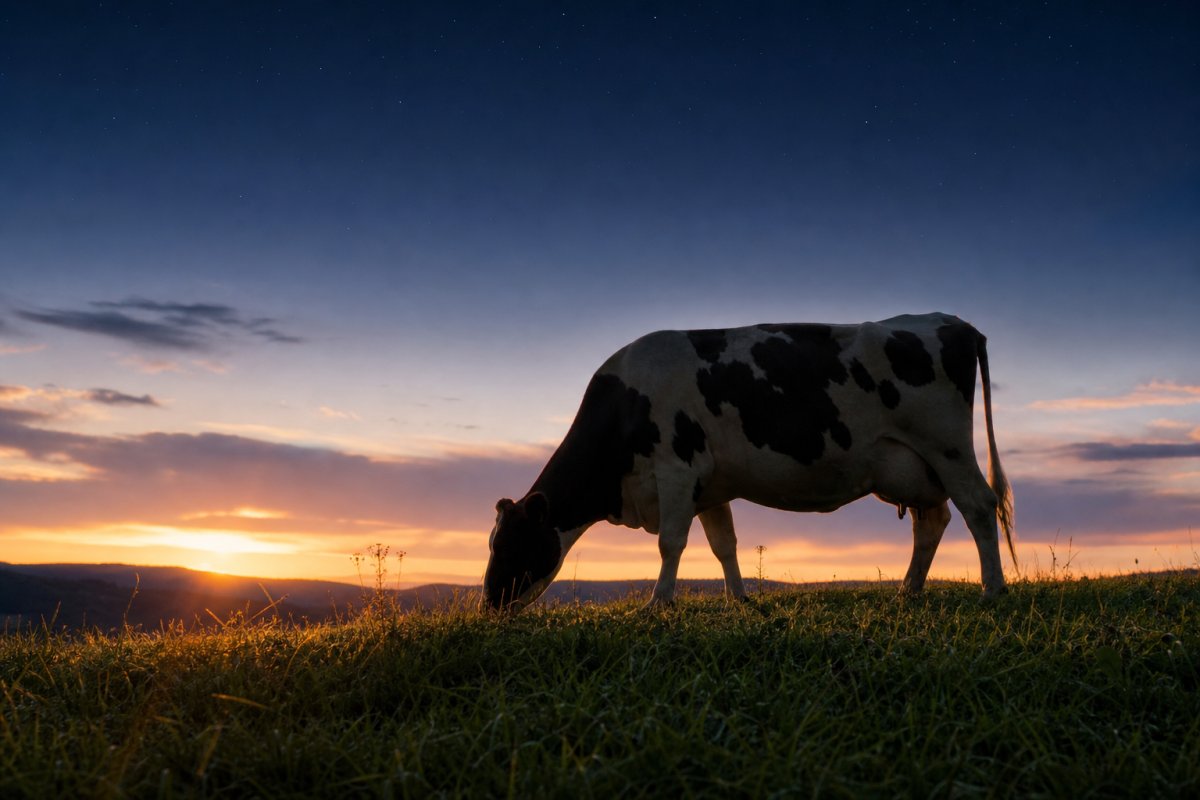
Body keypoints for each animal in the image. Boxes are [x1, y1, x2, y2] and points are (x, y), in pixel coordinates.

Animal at [483, 312, 1015, 612]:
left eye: (511, 543)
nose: (488, 603)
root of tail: (951, 319)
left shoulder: (676, 469)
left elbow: (671, 543)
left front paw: (657, 604)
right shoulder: (709, 485)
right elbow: (725, 544)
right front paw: (738, 598)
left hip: (946, 447)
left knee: (979, 505)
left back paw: (992, 591)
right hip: (914, 466)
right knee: (933, 521)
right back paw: (909, 591)